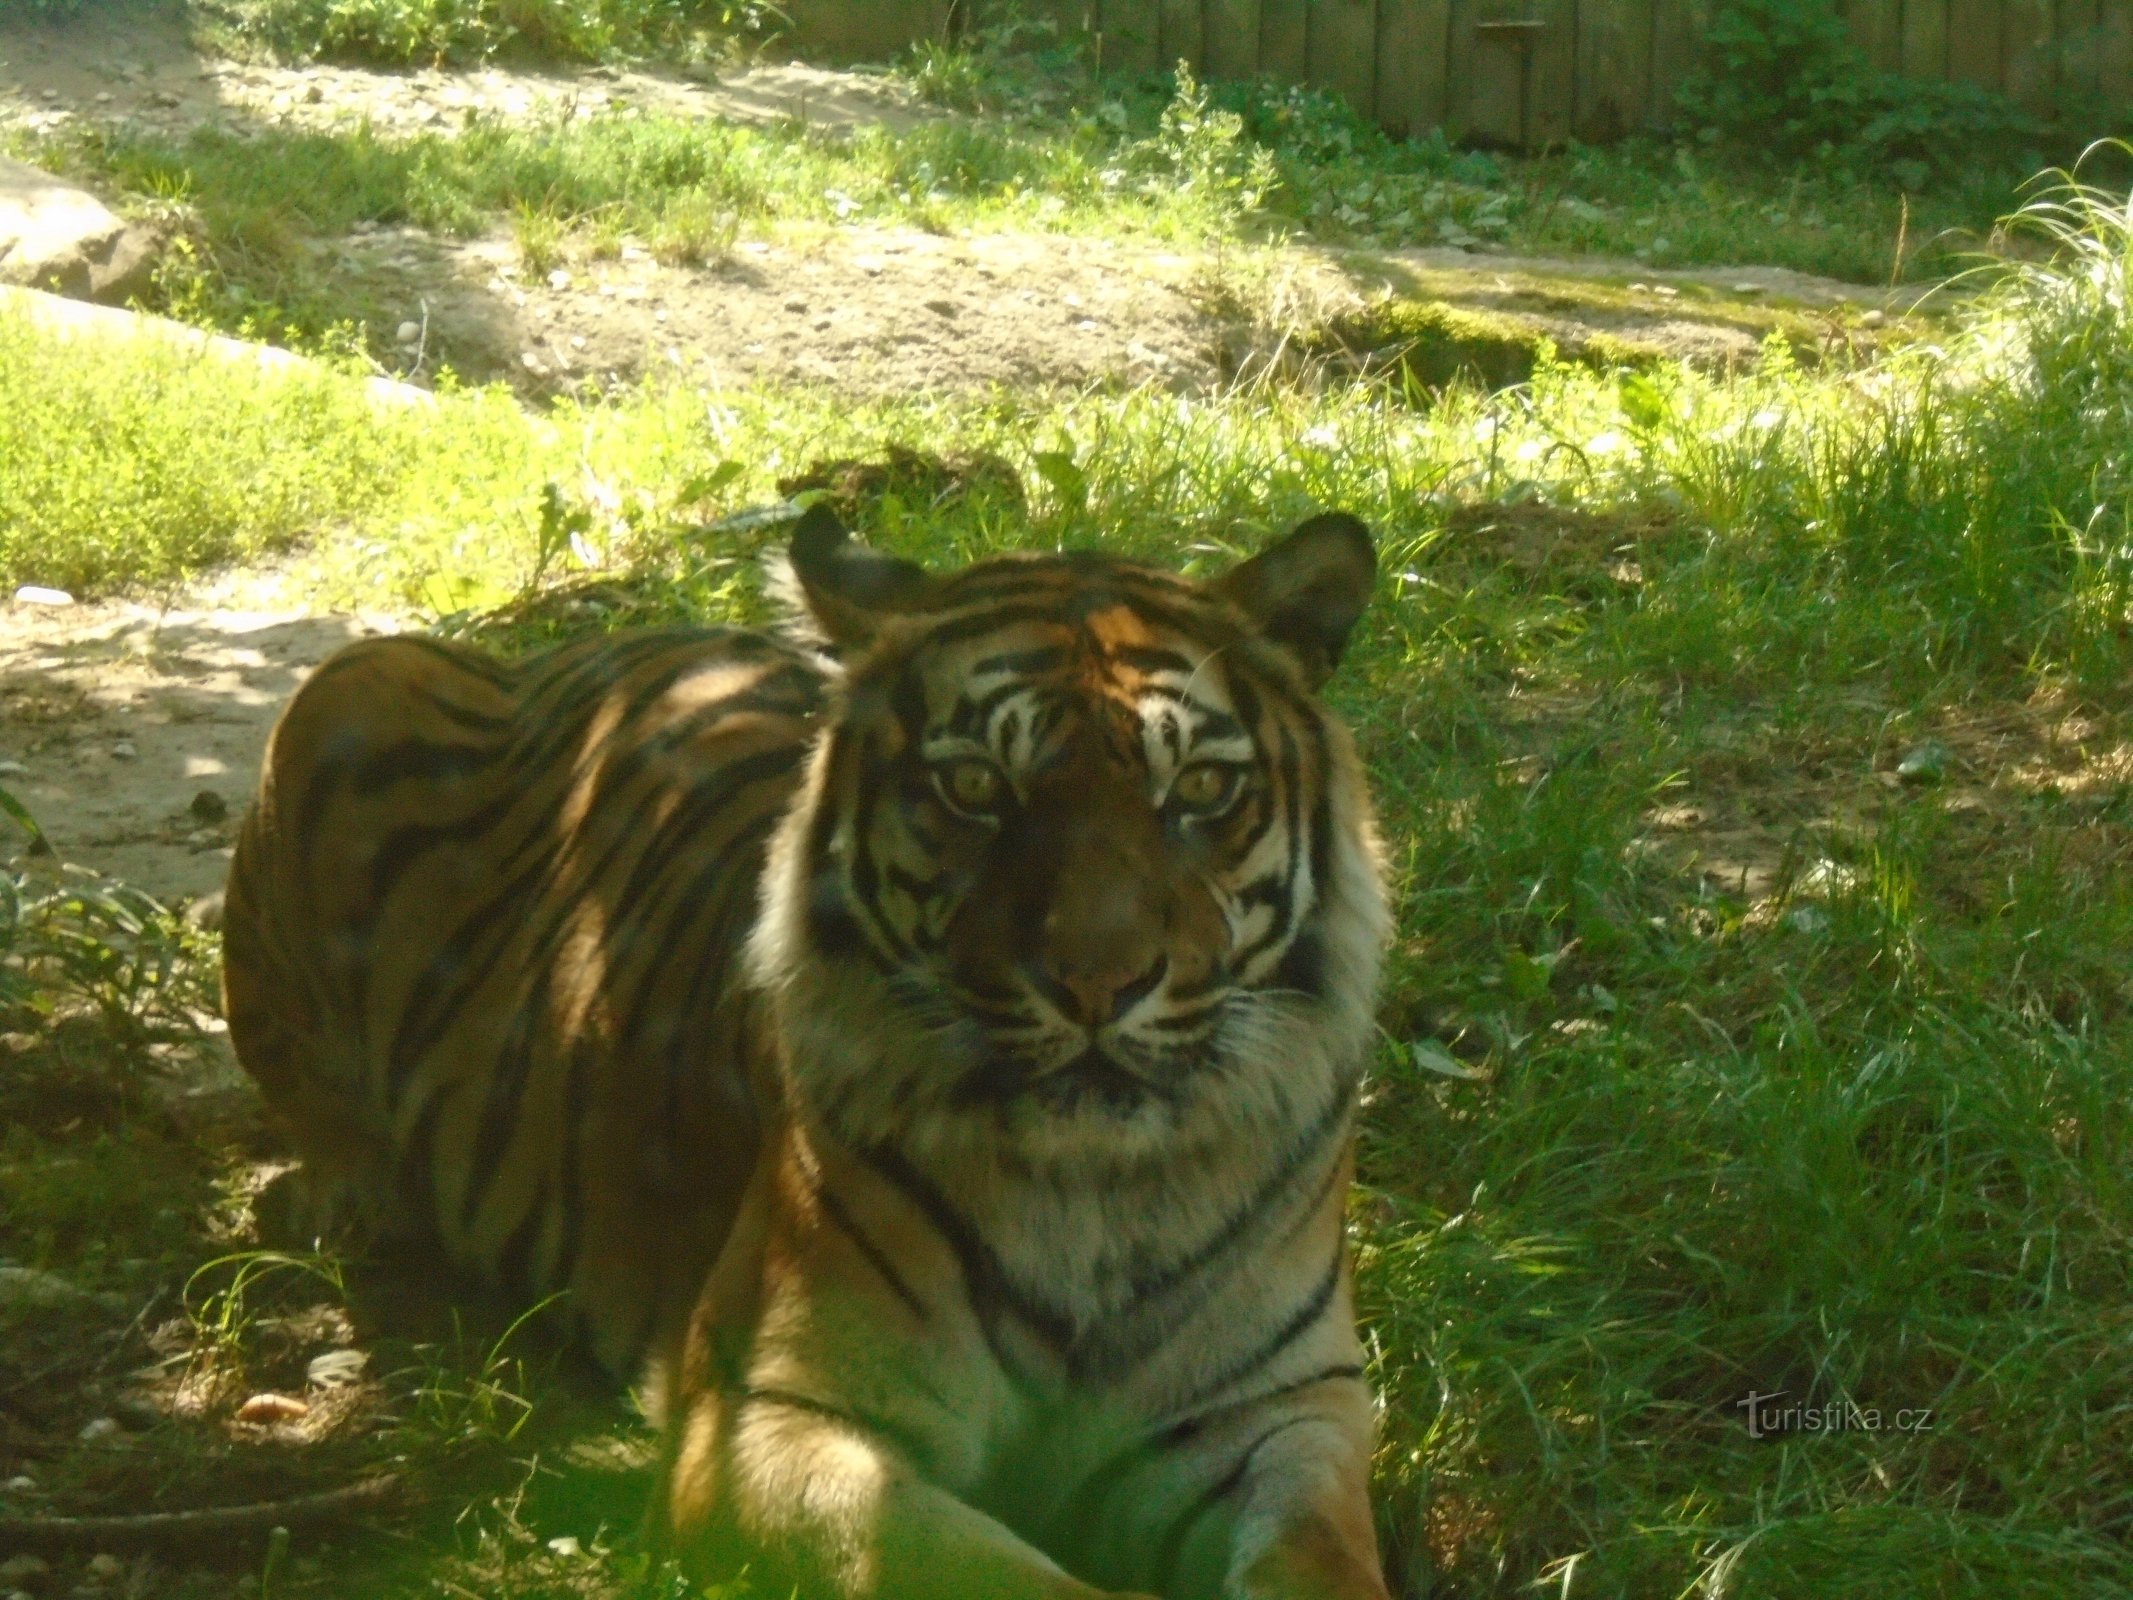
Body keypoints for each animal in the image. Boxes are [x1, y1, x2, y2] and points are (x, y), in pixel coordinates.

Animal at [220, 503, 1399, 1600]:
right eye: (976, 788)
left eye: (1197, 790)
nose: (1097, 984)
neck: (1093, 1192)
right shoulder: (768, 1416)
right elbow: (1012, 1581)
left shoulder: (1279, 1411)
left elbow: (1321, 1561)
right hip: (353, 679)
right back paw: (342, 1196)